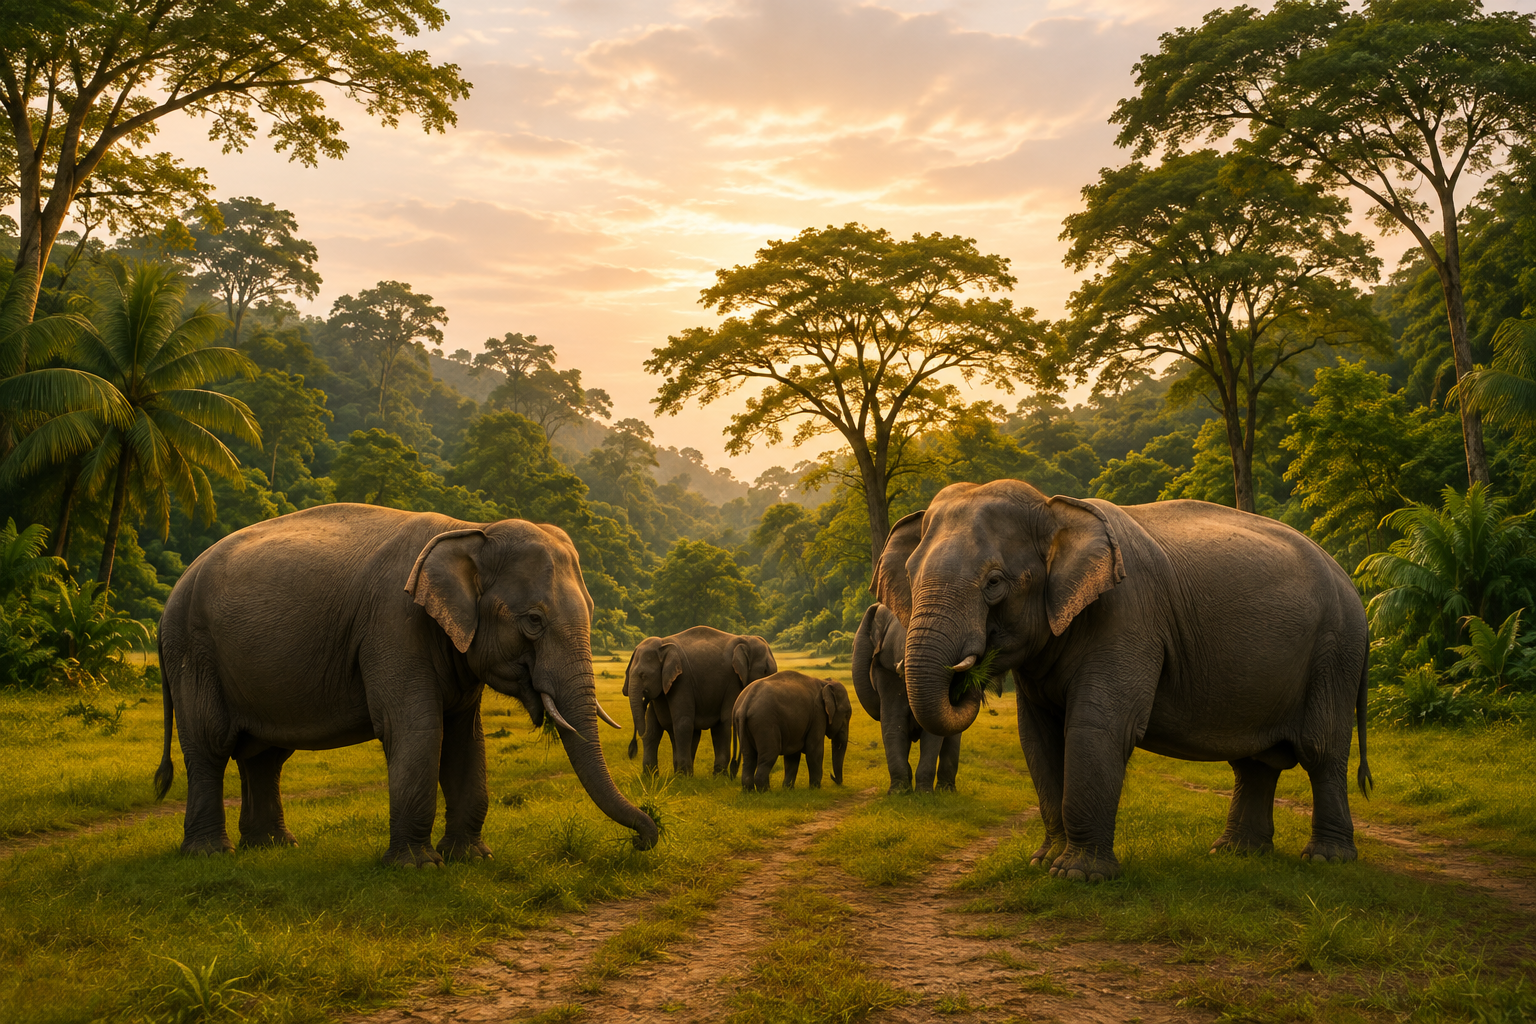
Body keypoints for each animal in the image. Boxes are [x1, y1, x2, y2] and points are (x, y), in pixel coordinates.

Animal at [155, 503, 657, 866]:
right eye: (533, 621)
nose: (645, 837)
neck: (472, 530)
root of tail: (170, 598)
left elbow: (465, 739)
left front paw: (472, 858)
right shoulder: (393, 626)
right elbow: (416, 730)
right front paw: (418, 866)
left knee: (264, 756)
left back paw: (275, 847)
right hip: (193, 650)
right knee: (210, 744)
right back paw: (210, 854)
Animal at [623, 626, 777, 775]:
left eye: (643, 675)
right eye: (629, 673)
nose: (631, 752)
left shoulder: (688, 680)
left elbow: (686, 723)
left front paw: (684, 776)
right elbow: (652, 729)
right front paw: (651, 778)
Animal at [875, 481, 1371, 883]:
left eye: (994, 582)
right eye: (911, 576)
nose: (968, 679)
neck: (1054, 508)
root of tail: (1352, 585)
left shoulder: (1129, 617)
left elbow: (1099, 728)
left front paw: (1077, 876)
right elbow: (1038, 738)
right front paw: (1044, 863)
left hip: (1335, 651)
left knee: (1321, 750)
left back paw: (1325, 859)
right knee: (1255, 762)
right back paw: (1235, 854)